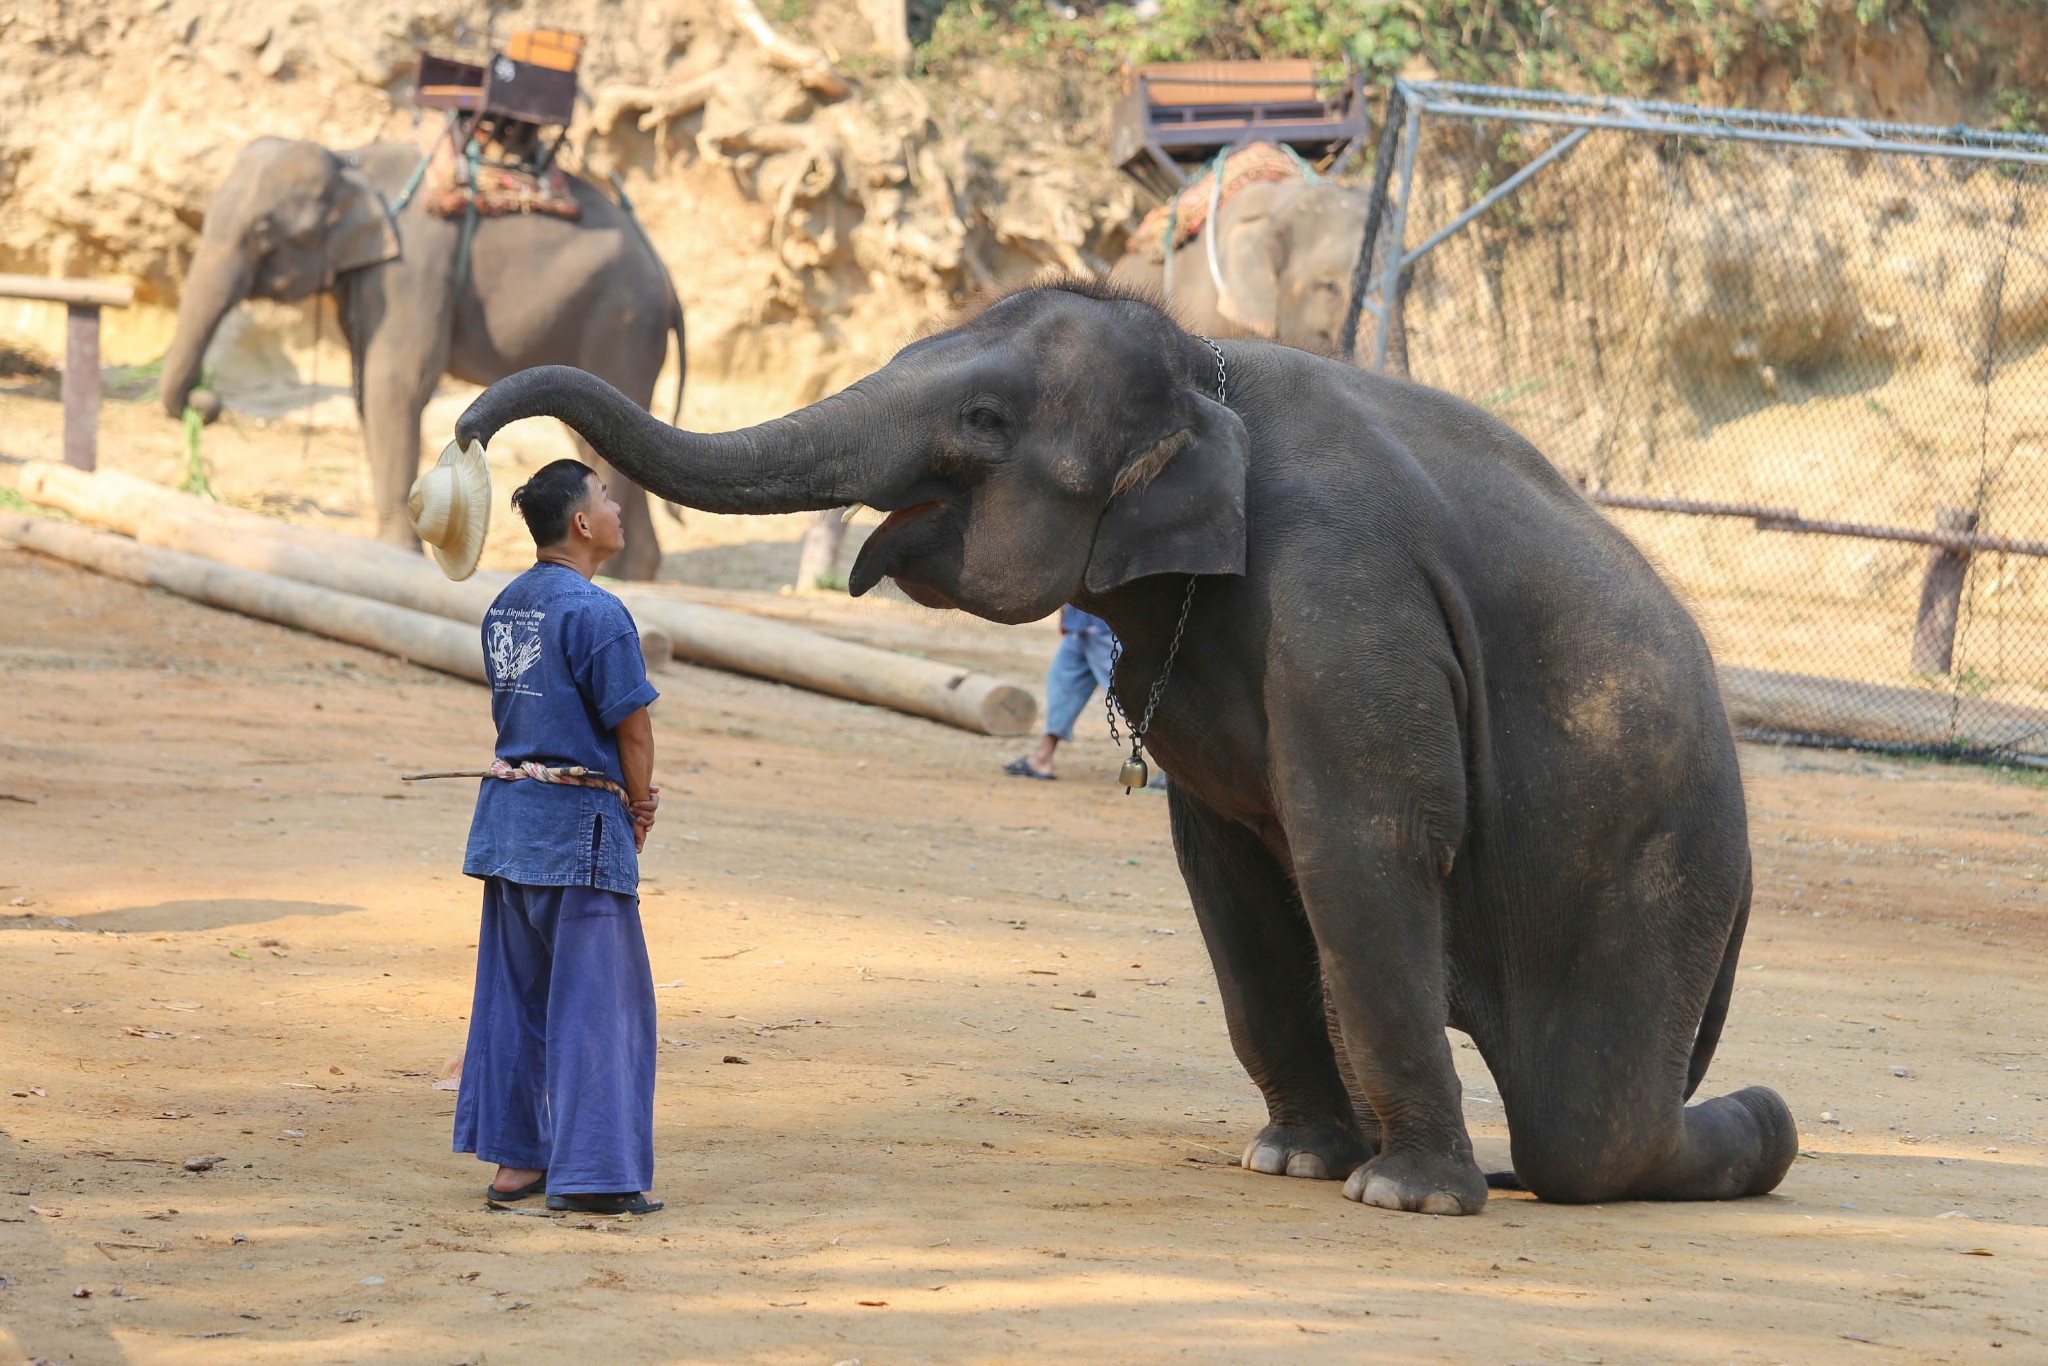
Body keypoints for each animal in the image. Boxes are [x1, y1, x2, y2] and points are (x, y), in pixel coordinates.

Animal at [456, 280, 1802, 1220]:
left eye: (983, 418)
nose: (473, 432)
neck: (1207, 372)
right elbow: (1232, 867)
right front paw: (1292, 1160)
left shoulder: (1345, 588)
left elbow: (1365, 840)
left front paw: (1404, 1197)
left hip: (1660, 861)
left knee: (1589, 1127)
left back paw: (1749, 1125)